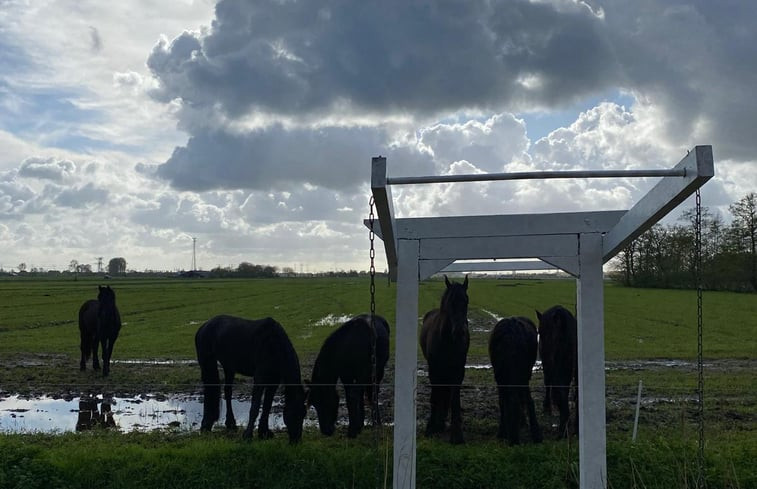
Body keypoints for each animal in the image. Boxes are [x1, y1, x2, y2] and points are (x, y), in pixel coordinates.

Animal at [416, 274, 470, 442]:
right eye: (449, 302)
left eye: (466, 301)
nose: (459, 332)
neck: (447, 340)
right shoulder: (433, 368)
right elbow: (435, 395)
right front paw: (431, 427)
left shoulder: (458, 369)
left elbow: (454, 399)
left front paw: (457, 434)